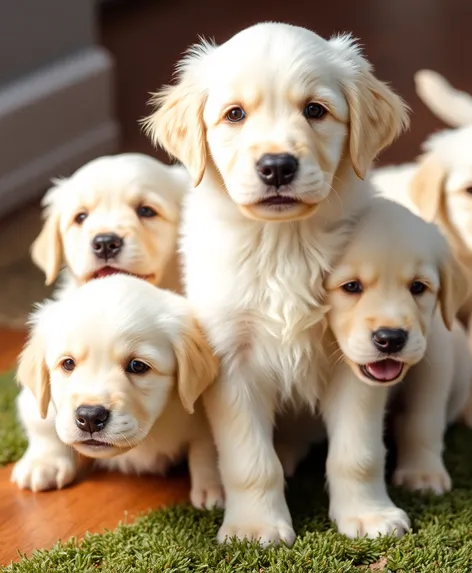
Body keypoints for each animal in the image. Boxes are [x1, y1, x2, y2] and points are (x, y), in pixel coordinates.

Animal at [11, 274, 224, 508]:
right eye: (68, 363)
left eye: (138, 366)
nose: (90, 417)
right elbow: (42, 423)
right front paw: (44, 463)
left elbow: (207, 445)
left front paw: (212, 486)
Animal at [142, 20, 408, 544]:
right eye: (235, 114)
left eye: (315, 110)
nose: (278, 166)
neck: (284, 243)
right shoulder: (230, 360)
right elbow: (249, 461)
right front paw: (254, 526)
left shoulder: (356, 353)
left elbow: (358, 453)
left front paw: (368, 515)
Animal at [322, 198, 470, 536]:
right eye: (351, 286)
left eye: (418, 287)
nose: (390, 339)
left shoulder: (436, 354)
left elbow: (423, 421)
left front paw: (423, 475)